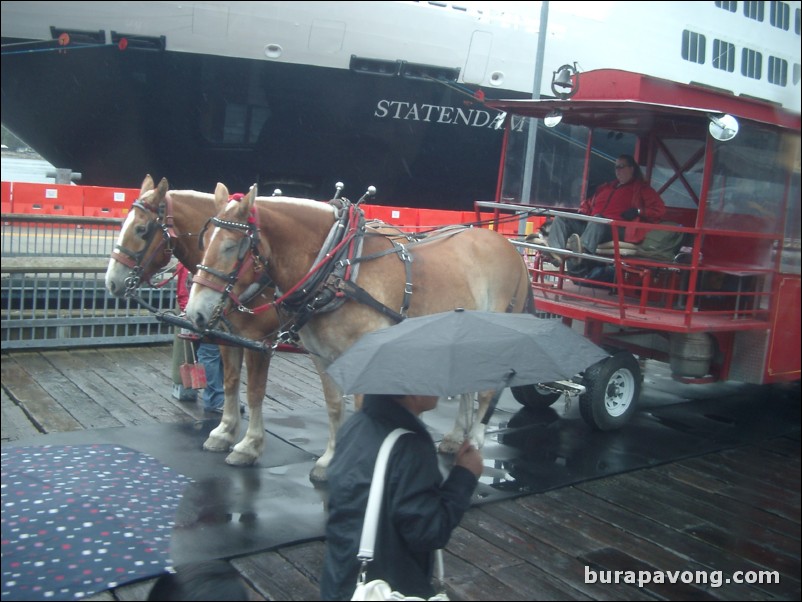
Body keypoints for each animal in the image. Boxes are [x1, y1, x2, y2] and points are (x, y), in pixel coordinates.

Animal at [183, 180, 532, 480]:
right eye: (204, 240)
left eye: (231, 247)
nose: (194, 312)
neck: (339, 268)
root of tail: (506, 245)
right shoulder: (323, 357)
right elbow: (335, 406)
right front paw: (328, 461)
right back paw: (456, 436)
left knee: (487, 390)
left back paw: (473, 441)